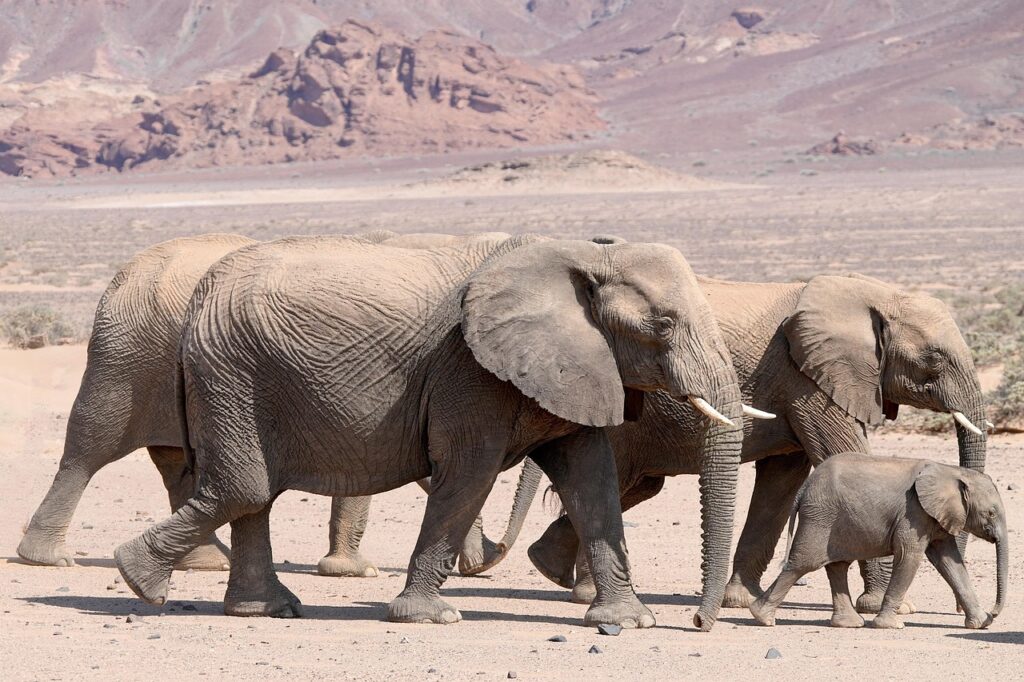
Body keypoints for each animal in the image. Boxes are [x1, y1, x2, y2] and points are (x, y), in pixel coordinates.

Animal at [16, 229, 525, 577]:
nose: (487, 559)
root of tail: (122, 276)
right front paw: (357, 572)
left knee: (177, 460)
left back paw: (206, 562)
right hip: (124, 356)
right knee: (91, 448)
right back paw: (49, 559)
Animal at [113, 234, 744, 629]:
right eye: (663, 325)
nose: (698, 621)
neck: (586, 254)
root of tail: (200, 296)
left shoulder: (579, 363)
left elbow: (592, 478)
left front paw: (630, 621)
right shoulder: (468, 370)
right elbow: (469, 473)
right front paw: (429, 617)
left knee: (252, 493)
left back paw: (260, 609)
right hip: (232, 374)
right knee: (245, 487)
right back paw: (139, 579)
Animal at [515, 272, 988, 614]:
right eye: (934, 359)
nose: (955, 608)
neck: (871, 293)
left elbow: (781, 483)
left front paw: (740, 601)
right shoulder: (805, 379)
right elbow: (838, 456)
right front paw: (887, 607)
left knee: (636, 486)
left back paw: (551, 569)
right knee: (618, 480)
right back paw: (576, 588)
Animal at [750, 452, 1007, 629]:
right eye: (991, 513)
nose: (993, 613)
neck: (952, 471)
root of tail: (804, 489)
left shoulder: (934, 516)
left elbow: (950, 562)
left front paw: (981, 624)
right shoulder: (913, 512)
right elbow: (909, 557)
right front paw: (891, 626)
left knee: (837, 566)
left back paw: (848, 623)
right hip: (820, 516)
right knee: (802, 563)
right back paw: (763, 618)